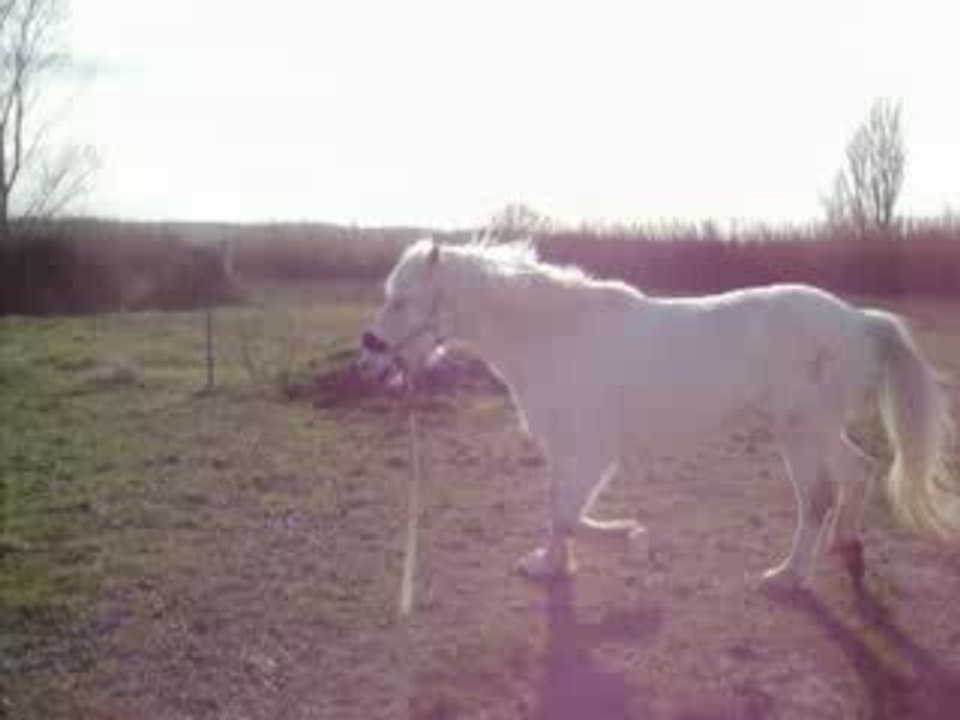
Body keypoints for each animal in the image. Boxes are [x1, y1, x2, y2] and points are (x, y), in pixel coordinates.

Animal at [358, 238, 958, 592]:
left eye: (402, 300)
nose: (369, 351)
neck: (555, 336)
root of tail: (860, 321)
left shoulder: (592, 450)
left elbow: (568, 515)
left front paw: (629, 540)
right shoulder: (565, 450)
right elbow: (558, 511)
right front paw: (553, 564)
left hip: (802, 433)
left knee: (818, 499)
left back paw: (785, 577)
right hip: (822, 429)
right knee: (860, 472)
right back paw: (846, 546)